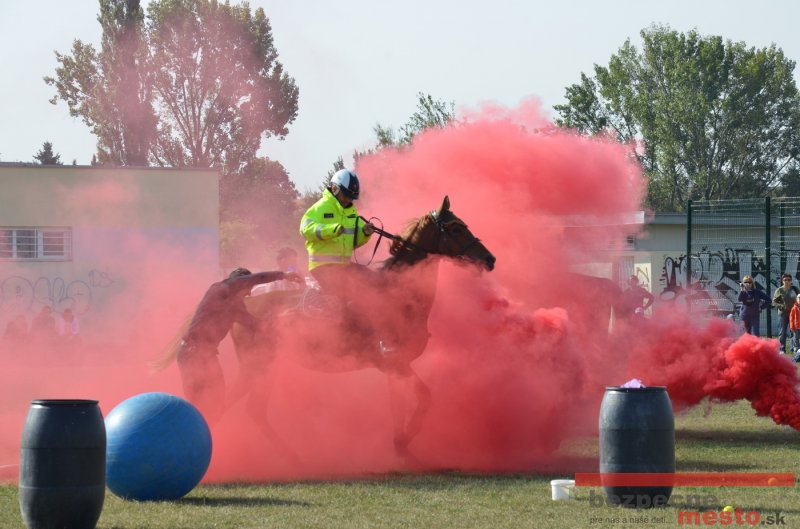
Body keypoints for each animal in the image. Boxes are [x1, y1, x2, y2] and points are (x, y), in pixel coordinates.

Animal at [229, 196, 496, 461]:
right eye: (455, 228)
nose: (490, 259)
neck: (398, 294)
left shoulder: (396, 369)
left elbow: (399, 408)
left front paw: (400, 445)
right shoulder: (395, 363)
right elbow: (424, 397)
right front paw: (406, 439)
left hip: (265, 369)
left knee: (254, 409)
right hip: (257, 367)